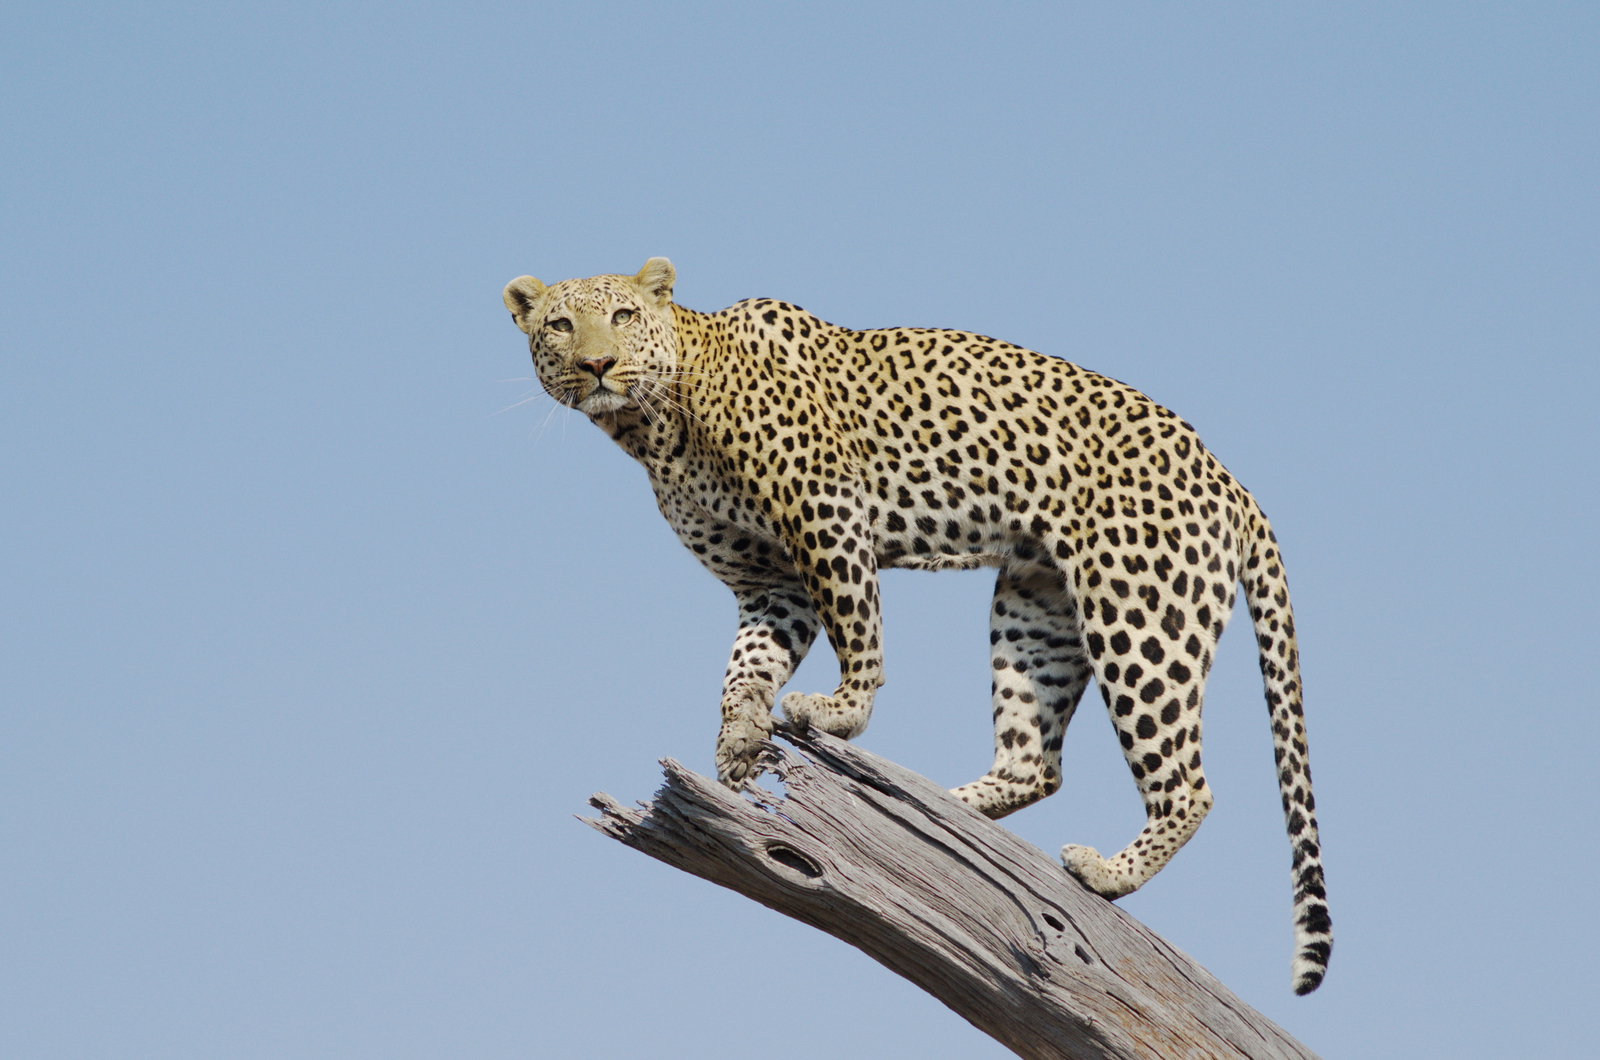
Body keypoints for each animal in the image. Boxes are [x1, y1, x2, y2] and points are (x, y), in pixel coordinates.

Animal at [503, 258, 1332, 994]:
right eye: (560, 325)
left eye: (622, 315)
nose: (599, 364)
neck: (654, 425)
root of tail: (1233, 483)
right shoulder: (770, 583)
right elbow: (746, 664)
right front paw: (737, 742)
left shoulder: (825, 509)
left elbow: (856, 620)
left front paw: (840, 711)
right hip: (1035, 607)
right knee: (1035, 761)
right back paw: (943, 812)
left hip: (1138, 611)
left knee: (1187, 785)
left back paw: (1104, 872)